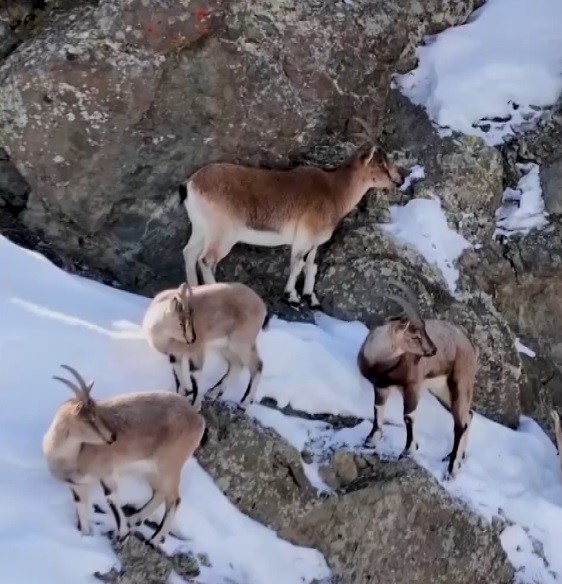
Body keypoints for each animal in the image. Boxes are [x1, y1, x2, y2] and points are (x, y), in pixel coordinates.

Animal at [42, 364, 206, 544]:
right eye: (89, 419)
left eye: (97, 412)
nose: (112, 437)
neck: (71, 456)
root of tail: (197, 418)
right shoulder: (76, 484)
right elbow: (81, 507)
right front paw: (85, 536)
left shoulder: (106, 472)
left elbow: (111, 497)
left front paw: (123, 535)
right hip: (151, 469)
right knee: (160, 492)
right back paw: (135, 519)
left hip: (170, 466)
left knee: (174, 499)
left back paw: (155, 539)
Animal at [143, 280, 268, 408]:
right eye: (181, 323)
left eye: (192, 319)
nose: (192, 339)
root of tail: (261, 306)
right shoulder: (174, 354)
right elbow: (178, 374)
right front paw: (181, 394)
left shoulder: (196, 351)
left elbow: (195, 375)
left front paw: (195, 404)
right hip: (225, 346)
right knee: (236, 364)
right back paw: (213, 392)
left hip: (242, 343)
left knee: (257, 365)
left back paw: (244, 402)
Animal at [356, 282, 474, 480]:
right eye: (415, 336)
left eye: (424, 330)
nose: (433, 350)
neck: (380, 362)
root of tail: (470, 346)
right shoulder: (380, 387)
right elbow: (377, 409)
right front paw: (370, 440)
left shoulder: (412, 387)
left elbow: (408, 417)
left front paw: (408, 451)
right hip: (441, 391)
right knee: (468, 416)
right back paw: (457, 458)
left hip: (460, 384)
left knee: (460, 425)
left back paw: (451, 470)